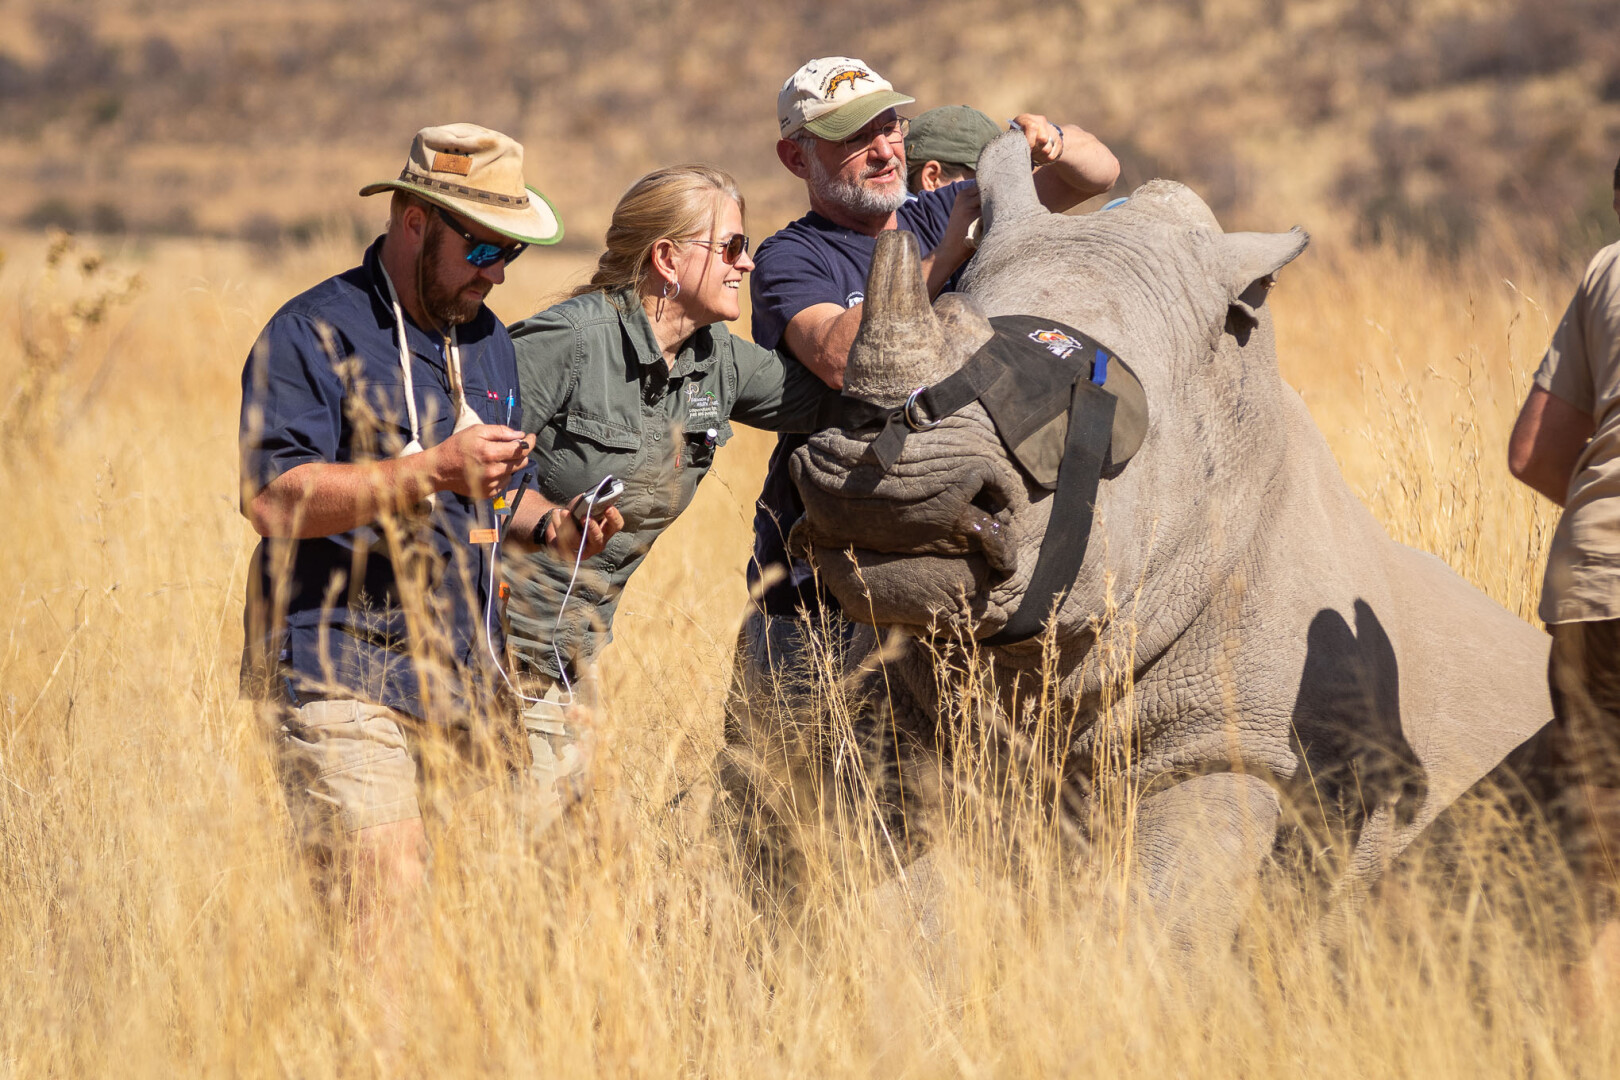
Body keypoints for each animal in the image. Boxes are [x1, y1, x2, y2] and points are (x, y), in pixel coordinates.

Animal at [731, 131, 1555, 944]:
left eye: (1092, 411)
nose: (889, 497)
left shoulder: (1239, 748)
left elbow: (1152, 921)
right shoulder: (909, 725)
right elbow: (890, 910)